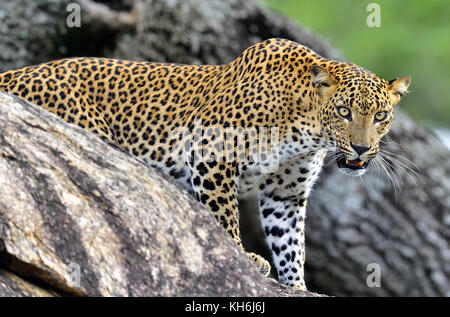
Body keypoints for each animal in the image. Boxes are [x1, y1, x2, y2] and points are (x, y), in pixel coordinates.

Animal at [0, 38, 410, 290]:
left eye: (381, 116)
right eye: (344, 112)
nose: (361, 148)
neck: (307, 130)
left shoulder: (286, 194)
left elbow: (292, 244)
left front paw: (296, 286)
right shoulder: (213, 156)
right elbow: (224, 218)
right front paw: (244, 259)